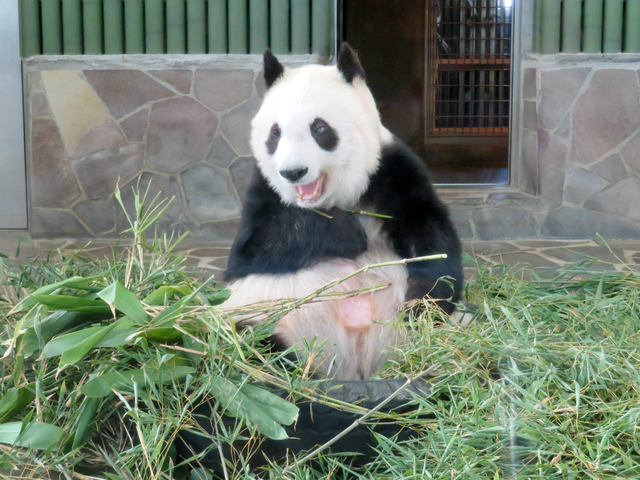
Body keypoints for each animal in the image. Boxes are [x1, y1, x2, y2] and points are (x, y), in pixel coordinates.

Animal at [222, 43, 462, 380]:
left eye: (319, 128)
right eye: (275, 133)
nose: (293, 172)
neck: (338, 197)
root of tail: (356, 369)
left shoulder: (392, 171)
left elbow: (431, 236)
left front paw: (421, 303)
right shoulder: (264, 189)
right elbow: (254, 247)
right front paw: (347, 232)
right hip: (266, 322)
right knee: (248, 343)